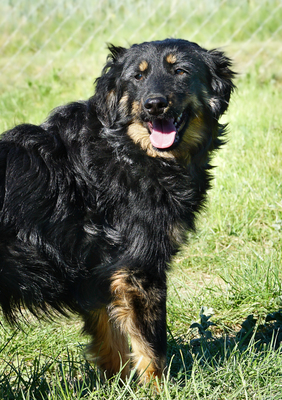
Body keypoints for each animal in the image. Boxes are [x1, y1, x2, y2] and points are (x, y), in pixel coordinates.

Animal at [0, 39, 235, 382]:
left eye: (180, 71)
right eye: (137, 77)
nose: (154, 104)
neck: (126, 149)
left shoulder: (99, 274)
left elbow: (112, 344)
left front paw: (119, 386)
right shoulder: (138, 267)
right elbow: (151, 345)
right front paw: (160, 388)